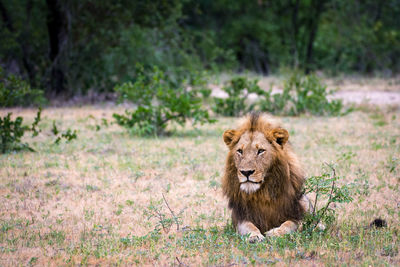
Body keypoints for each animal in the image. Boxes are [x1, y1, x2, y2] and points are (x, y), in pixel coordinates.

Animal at [222, 113, 312, 243]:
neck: (263, 193)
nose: (246, 172)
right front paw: (254, 236)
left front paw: (275, 233)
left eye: (260, 151)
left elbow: (290, 224)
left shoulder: (296, 213)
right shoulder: (240, 217)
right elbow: (248, 226)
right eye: (240, 151)